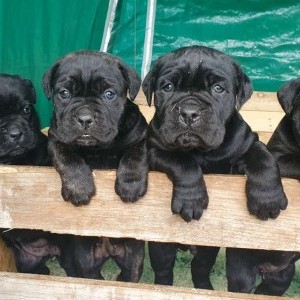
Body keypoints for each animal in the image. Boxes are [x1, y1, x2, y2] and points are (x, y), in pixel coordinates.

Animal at [42, 50, 149, 282]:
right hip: (86, 261)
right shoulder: (56, 137)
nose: (85, 118)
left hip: (133, 261)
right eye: (64, 93)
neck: (99, 147)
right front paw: (79, 188)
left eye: (109, 94)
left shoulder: (142, 137)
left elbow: (135, 155)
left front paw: (130, 185)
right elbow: (68, 158)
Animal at [143, 45, 288, 286]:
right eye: (168, 87)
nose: (189, 112)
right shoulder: (157, 149)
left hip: (207, 249)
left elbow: (263, 158)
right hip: (162, 246)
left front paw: (267, 199)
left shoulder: (247, 144)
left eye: (218, 88)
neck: (201, 151)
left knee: (200, 267)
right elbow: (183, 162)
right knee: (164, 268)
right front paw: (191, 200)